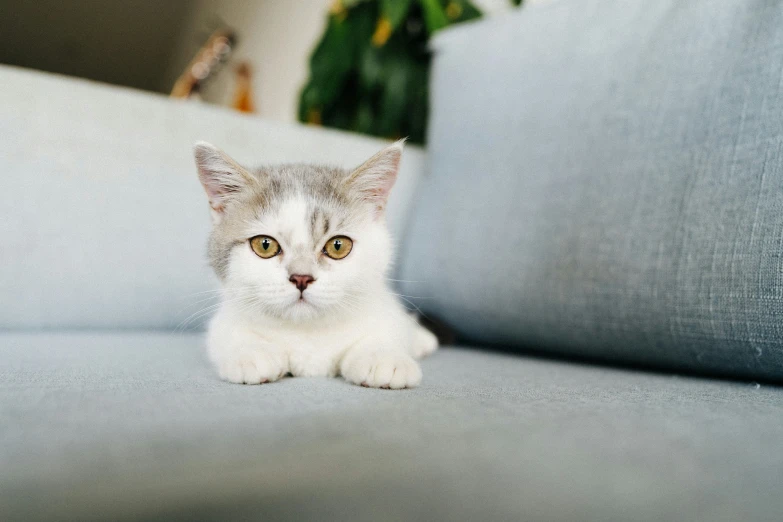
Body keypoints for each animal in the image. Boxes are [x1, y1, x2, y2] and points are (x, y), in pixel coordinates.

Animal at [194, 138, 440, 386]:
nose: (301, 278)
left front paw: (382, 357)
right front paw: (250, 353)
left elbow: (388, 328)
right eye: (265, 245)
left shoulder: (383, 308)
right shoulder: (224, 319)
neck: (308, 334)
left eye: (338, 246)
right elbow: (229, 334)